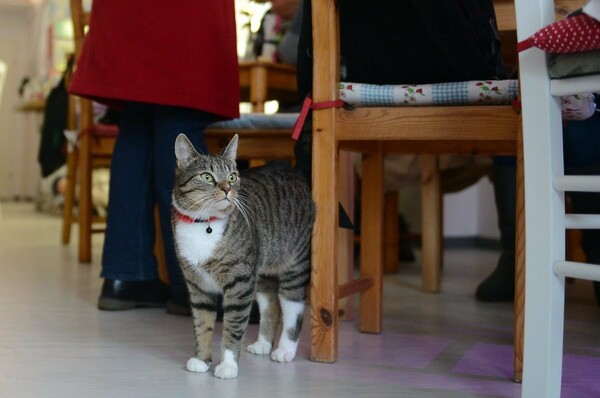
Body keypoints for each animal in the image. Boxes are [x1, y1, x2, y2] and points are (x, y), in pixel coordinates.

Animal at [172, 134, 316, 380]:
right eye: (207, 176)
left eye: (232, 176)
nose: (227, 189)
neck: (204, 224)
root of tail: (294, 171)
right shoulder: (198, 286)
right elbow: (202, 324)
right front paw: (202, 359)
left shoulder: (240, 284)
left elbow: (233, 326)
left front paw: (228, 365)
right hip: (262, 268)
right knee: (271, 305)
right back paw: (263, 344)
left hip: (295, 261)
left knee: (293, 306)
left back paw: (285, 349)